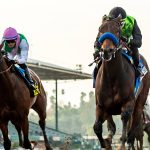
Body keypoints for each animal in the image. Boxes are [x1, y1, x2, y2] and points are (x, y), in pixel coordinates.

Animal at [93, 14, 149, 149]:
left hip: (139, 104)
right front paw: (106, 142)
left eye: (117, 31)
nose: (107, 50)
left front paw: (121, 144)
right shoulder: (101, 105)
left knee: (132, 132)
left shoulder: (128, 103)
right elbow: (97, 127)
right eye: (100, 29)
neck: (113, 76)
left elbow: (125, 121)